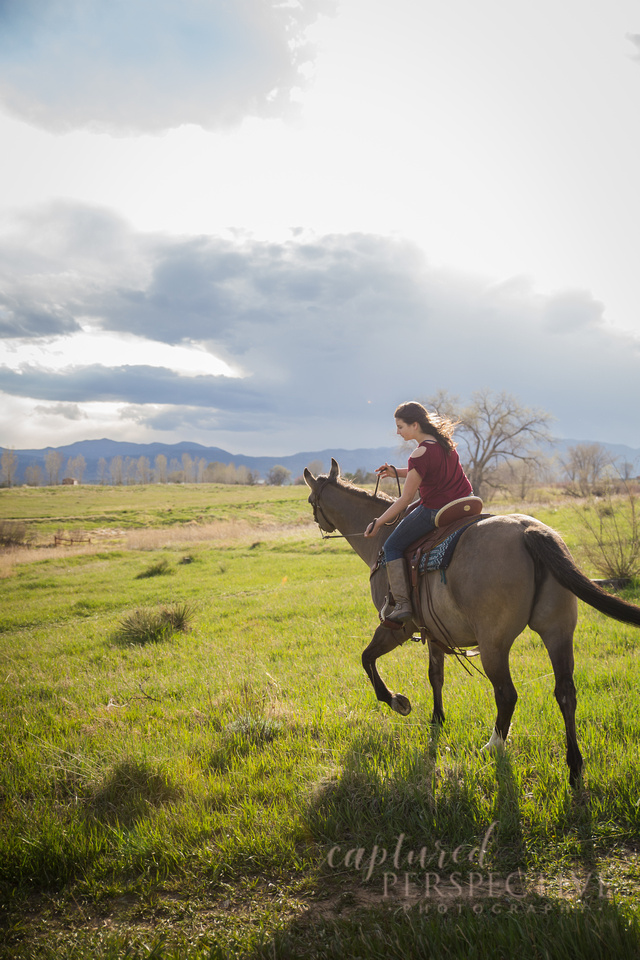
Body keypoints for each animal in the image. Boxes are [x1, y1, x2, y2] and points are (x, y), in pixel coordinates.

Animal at [302, 462, 640, 784]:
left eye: (309, 500)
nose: (319, 525)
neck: (383, 540)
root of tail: (528, 530)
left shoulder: (396, 628)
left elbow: (367, 659)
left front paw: (398, 701)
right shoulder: (434, 633)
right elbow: (435, 676)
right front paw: (437, 718)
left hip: (494, 644)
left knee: (507, 694)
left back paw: (493, 746)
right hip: (557, 631)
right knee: (565, 692)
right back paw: (574, 766)